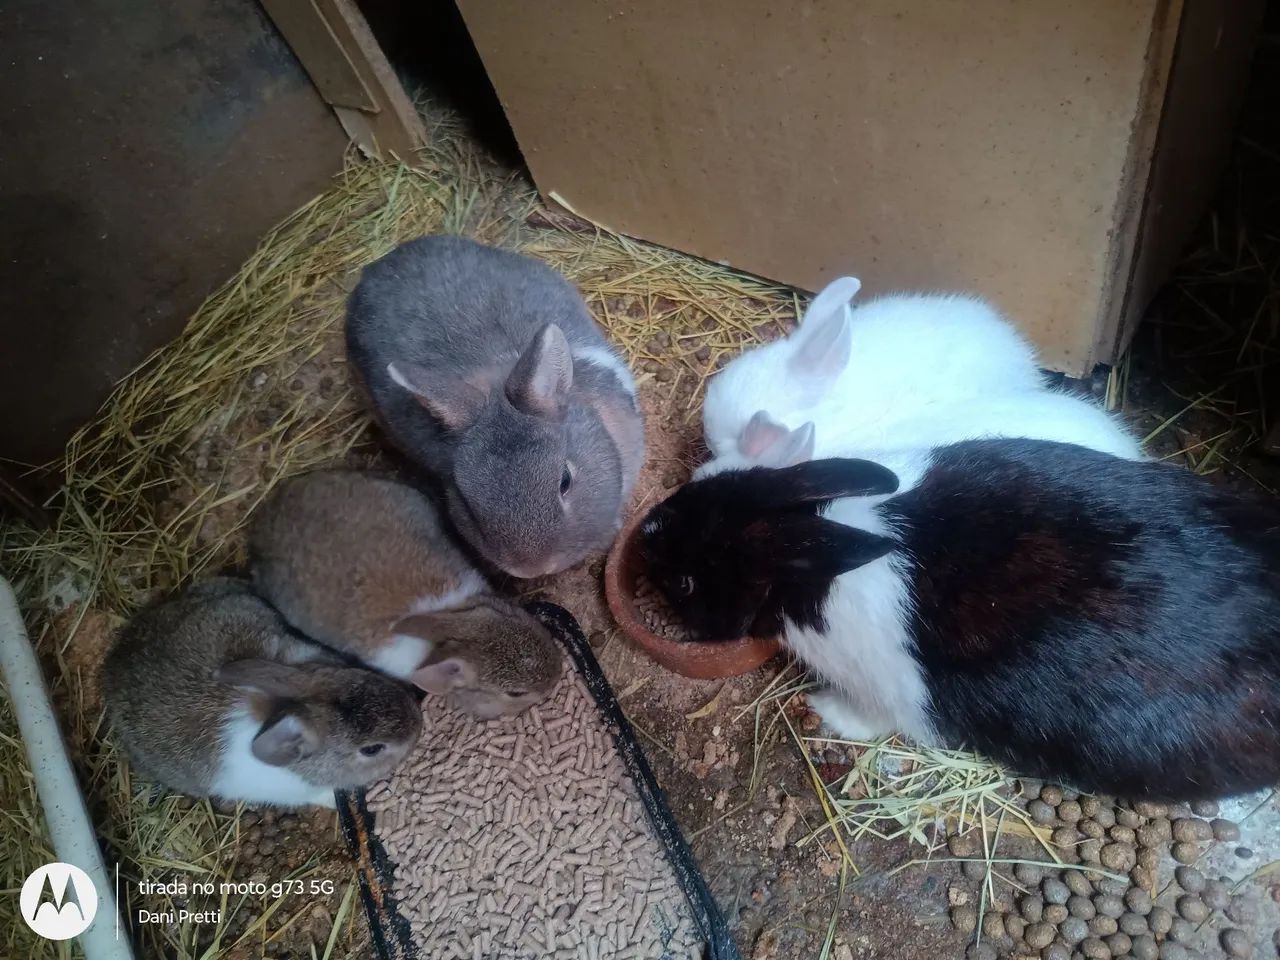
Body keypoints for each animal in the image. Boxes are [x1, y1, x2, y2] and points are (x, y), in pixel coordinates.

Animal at [638, 442, 1280, 800]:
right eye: (698, 492)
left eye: (687, 583)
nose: (646, 529)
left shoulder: (886, 694)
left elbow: (869, 718)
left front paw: (824, 710)